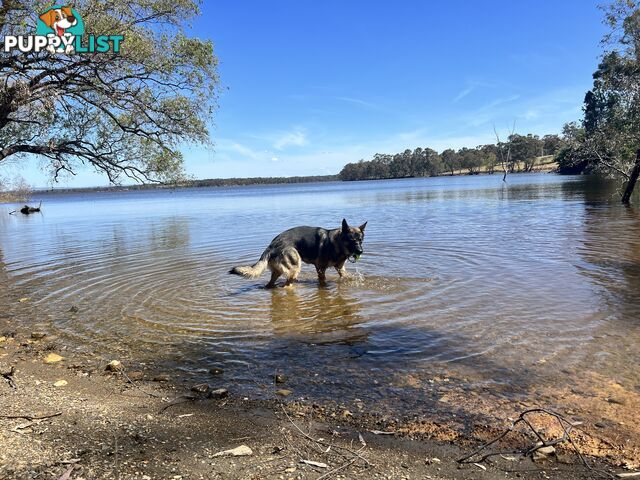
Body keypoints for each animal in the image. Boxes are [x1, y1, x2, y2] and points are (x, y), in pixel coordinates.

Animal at [229, 218, 364, 288]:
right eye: (352, 240)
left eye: (361, 240)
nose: (360, 251)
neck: (335, 242)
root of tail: (272, 245)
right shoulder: (320, 269)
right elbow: (323, 281)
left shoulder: (340, 269)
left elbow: (345, 276)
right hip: (295, 267)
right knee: (286, 285)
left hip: (278, 272)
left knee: (271, 284)